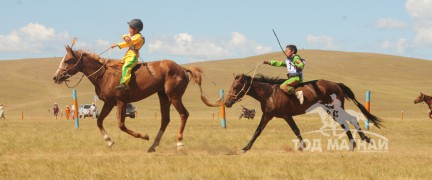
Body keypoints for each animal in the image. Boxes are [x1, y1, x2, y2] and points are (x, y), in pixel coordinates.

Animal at [54, 45, 221, 153]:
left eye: (68, 60)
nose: (56, 77)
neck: (104, 75)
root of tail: (182, 68)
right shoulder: (109, 103)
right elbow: (99, 121)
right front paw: (109, 141)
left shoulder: (121, 102)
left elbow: (121, 125)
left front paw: (143, 135)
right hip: (163, 96)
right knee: (165, 119)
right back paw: (153, 146)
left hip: (174, 96)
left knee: (183, 114)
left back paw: (179, 143)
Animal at [224, 74, 384, 153]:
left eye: (236, 86)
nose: (227, 102)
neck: (269, 93)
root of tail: (337, 84)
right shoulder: (270, 116)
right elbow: (258, 131)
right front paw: (246, 147)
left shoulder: (283, 116)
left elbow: (295, 129)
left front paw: (302, 146)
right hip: (331, 110)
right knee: (347, 121)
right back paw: (355, 144)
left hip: (334, 109)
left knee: (349, 120)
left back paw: (361, 141)